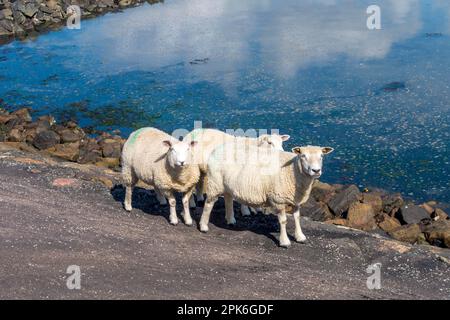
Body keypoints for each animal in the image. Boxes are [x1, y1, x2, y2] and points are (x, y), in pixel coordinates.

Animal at [199, 144, 332, 248]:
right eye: (303, 156)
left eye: (321, 156)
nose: (316, 171)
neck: (293, 170)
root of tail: (218, 148)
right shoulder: (278, 199)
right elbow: (283, 221)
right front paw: (284, 241)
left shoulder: (296, 201)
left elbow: (297, 217)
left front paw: (300, 237)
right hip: (215, 182)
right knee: (209, 203)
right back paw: (203, 226)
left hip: (227, 184)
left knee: (228, 198)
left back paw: (230, 220)